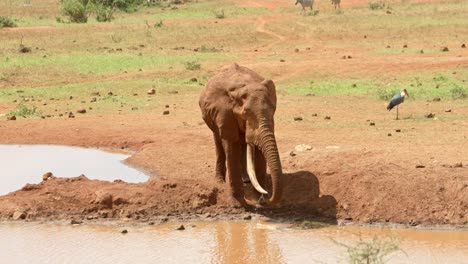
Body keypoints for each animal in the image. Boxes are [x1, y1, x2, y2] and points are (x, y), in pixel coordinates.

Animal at [199, 64, 284, 206]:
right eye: (245, 114)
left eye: (273, 110)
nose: (266, 197)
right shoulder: (225, 115)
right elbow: (231, 148)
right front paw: (237, 204)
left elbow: (259, 152)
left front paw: (258, 199)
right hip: (212, 118)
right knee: (218, 141)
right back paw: (220, 182)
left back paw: (246, 179)